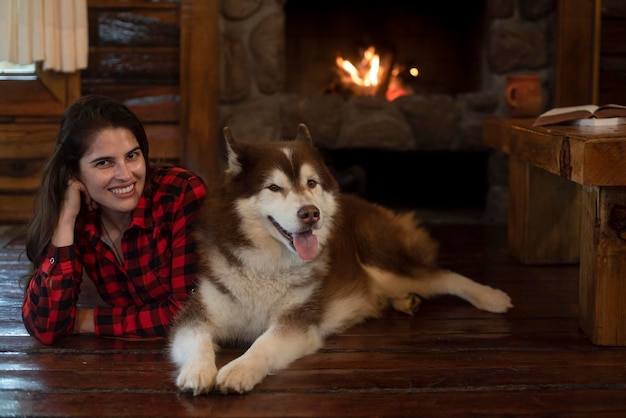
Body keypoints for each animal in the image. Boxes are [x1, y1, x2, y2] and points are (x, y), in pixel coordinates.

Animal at [168, 123, 510, 396]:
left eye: (311, 183)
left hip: (382, 263)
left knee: (442, 275)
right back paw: (404, 300)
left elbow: (262, 344)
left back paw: (490, 296)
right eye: (274, 187)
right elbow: (196, 338)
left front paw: (239, 370)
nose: (311, 213)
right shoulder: (197, 313)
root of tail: (365, 203)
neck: (268, 265)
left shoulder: (297, 322)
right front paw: (198, 371)